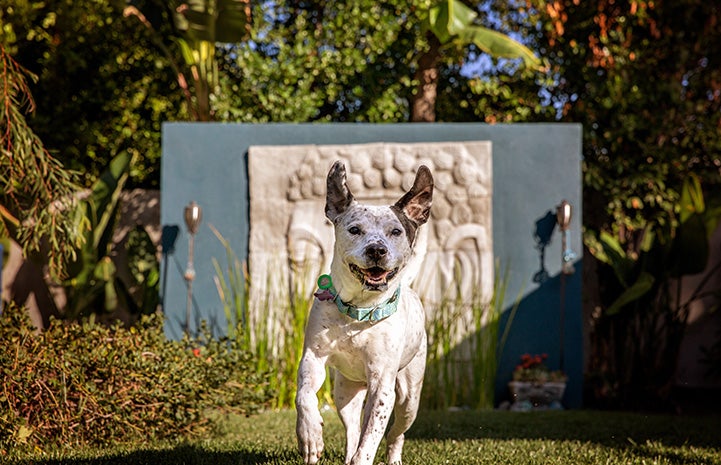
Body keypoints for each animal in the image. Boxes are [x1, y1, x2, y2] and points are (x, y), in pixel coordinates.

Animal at [294, 160, 430, 464]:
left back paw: (394, 458)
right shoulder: (313, 358)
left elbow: (371, 439)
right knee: (353, 429)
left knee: (395, 433)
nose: (377, 250)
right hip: (345, 393)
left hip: (409, 399)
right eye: (355, 229)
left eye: (396, 232)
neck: (358, 312)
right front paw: (310, 435)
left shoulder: (382, 386)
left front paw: (365, 456)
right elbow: (304, 396)